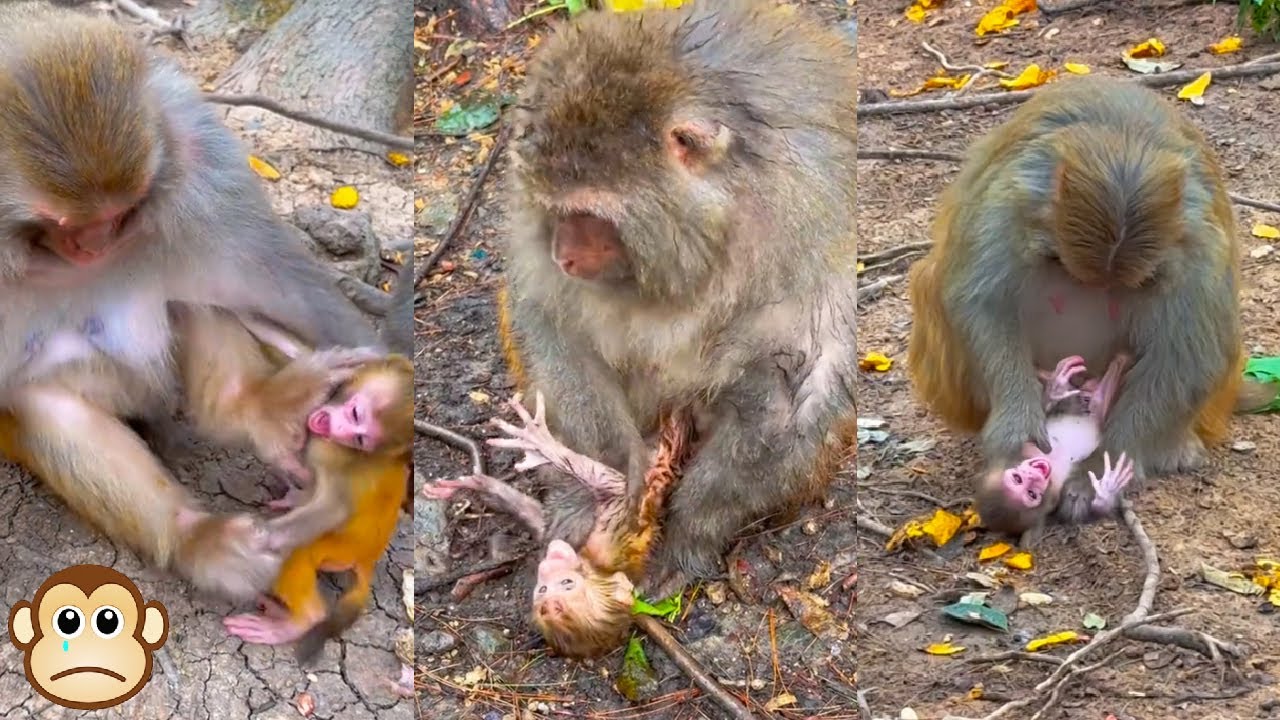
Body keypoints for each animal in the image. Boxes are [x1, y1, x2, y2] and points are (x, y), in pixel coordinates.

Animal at [0, 2, 385, 603]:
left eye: (122, 211)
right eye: (64, 224)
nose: (95, 245)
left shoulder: (201, 163)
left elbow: (276, 281)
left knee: (194, 290)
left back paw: (252, 405)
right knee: (42, 395)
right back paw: (194, 537)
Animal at [425, 392, 695, 658]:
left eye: (566, 584)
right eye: (542, 590)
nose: (548, 567)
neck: (592, 562)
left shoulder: (608, 532)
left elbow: (608, 482)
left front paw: (539, 443)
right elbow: (536, 512)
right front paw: (476, 484)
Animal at [498, 0, 858, 591]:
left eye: (589, 215)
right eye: (553, 209)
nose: (563, 256)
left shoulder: (796, 235)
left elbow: (792, 385)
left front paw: (689, 534)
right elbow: (552, 327)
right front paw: (598, 483)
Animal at [975, 354, 1135, 537]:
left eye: (1017, 478)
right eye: (1031, 493)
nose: (1033, 475)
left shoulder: (1019, 449)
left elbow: (1038, 424)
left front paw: (1055, 390)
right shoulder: (1054, 497)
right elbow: (1093, 510)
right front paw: (1107, 488)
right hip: (1101, 404)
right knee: (1106, 388)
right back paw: (1121, 362)